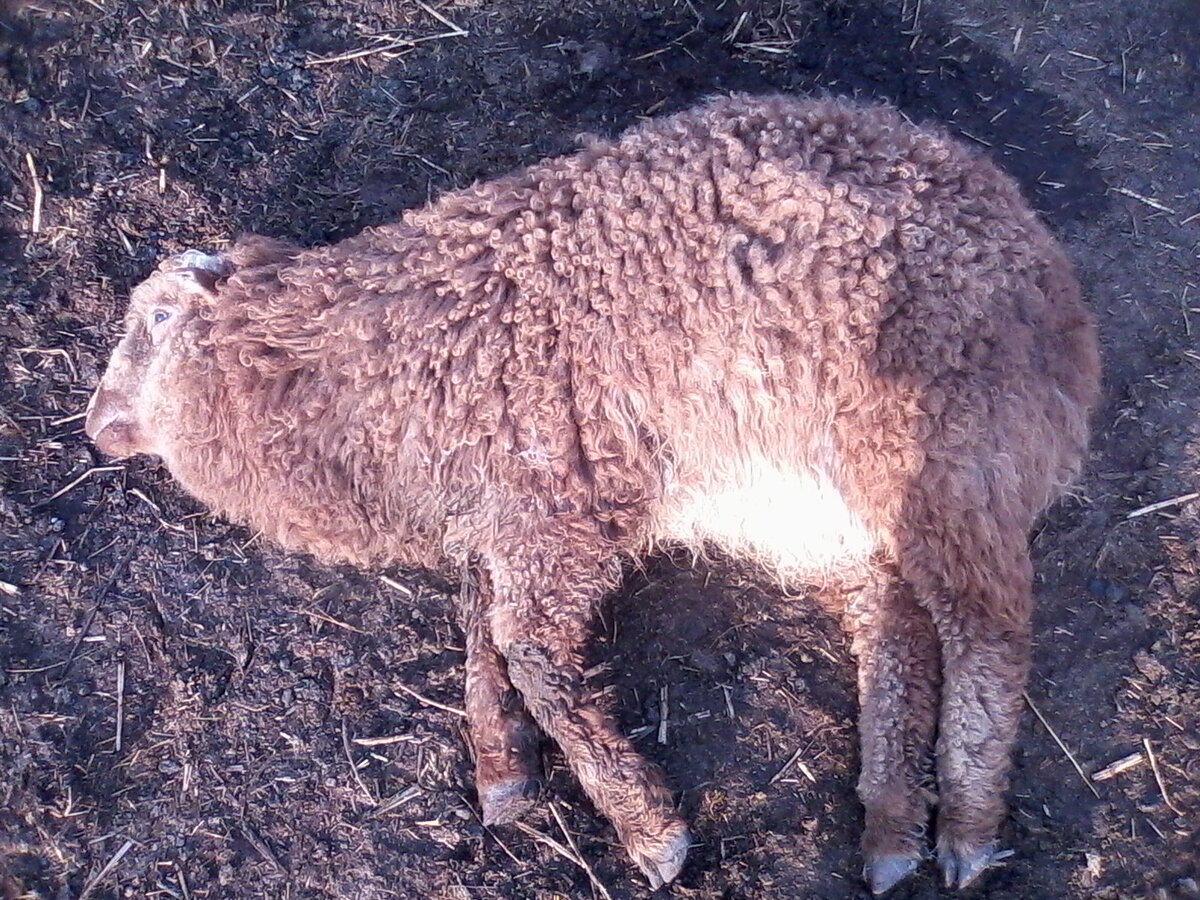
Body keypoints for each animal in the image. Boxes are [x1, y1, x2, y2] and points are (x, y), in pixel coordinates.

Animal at [82, 93, 1099, 897]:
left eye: (158, 318)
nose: (97, 424)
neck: (352, 366)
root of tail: (1052, 289)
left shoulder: (556, 509)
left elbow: (529, 649)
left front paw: (648, 828)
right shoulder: (497, 521)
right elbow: (483, 630)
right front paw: (504, 771)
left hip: (937, 450)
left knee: (985, 634)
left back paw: (964, 828)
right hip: (828, 510)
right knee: (897, 629)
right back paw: (891, 829)